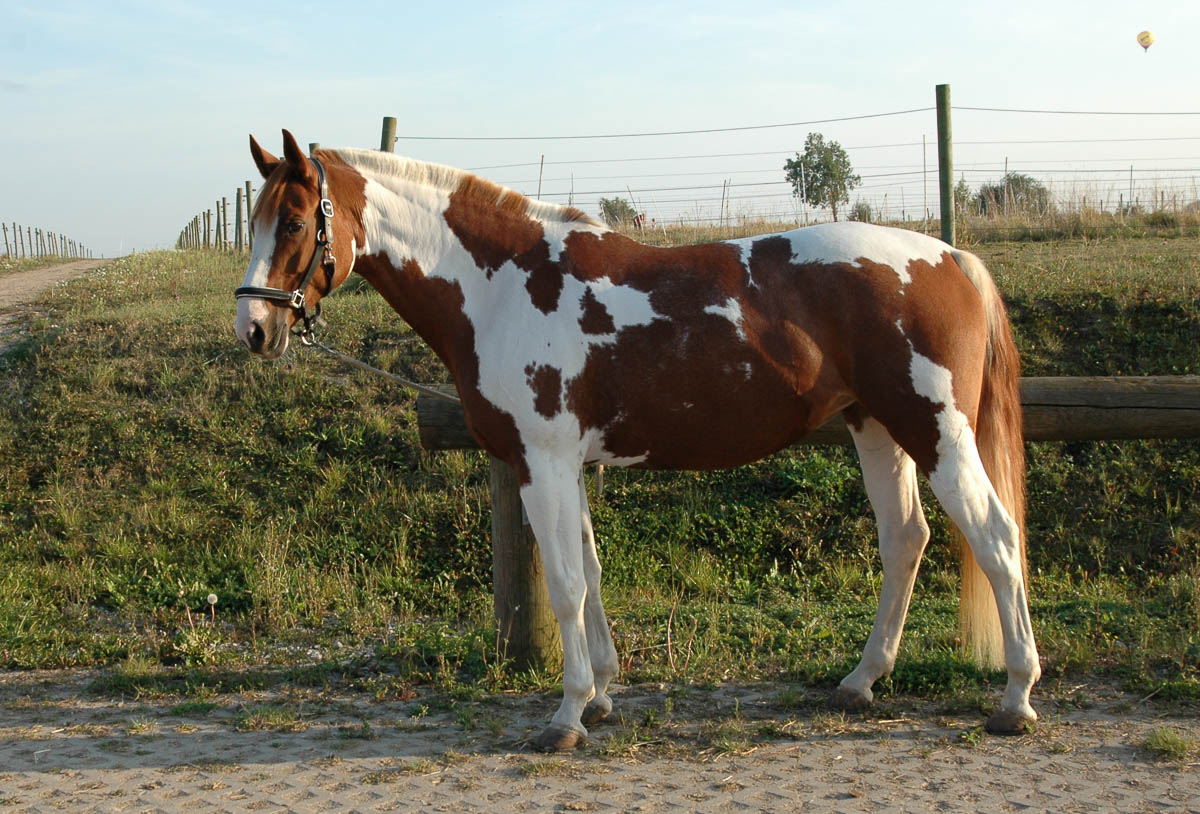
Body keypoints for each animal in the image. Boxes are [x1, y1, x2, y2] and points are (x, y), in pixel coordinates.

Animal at [236, 132, 1041, 753]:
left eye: (297, 221)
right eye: (255, 220)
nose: (254, 329)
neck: (504, 287)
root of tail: (949, 257)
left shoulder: (543, 463)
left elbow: (564, 585)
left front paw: (564, 716)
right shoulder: (569, 465)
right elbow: (590, 577)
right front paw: (600, 696)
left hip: (936, 433)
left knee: (996, 538)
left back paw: (1015, 698)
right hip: (876, 429)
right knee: (906, 539)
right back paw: (861, 681)